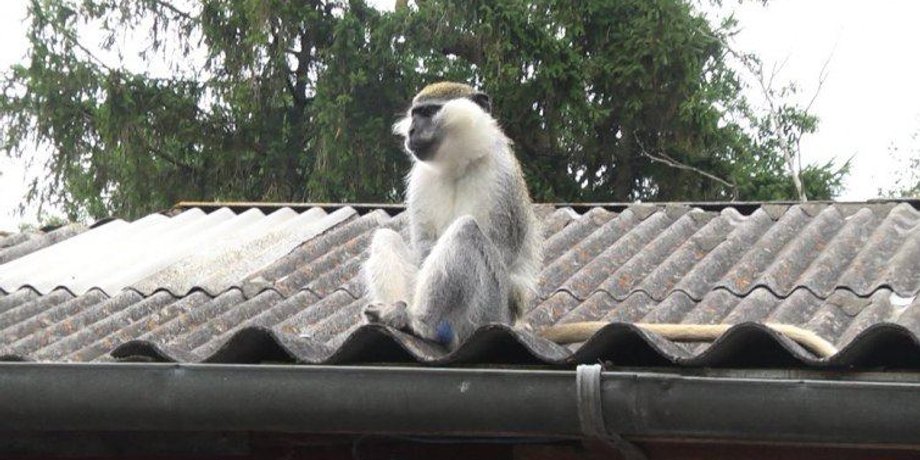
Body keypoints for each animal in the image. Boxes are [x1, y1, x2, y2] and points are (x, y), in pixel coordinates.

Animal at [362, 81, 542, 351]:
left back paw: (421, 322)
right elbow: (424, 250)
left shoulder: (502, 174)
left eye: (427, 113)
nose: (411, 130)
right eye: (414, 114)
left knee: (465, 230)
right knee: (386, 237)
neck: (458, 165)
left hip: (485, 316)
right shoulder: (421, 178)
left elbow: (502, 253)